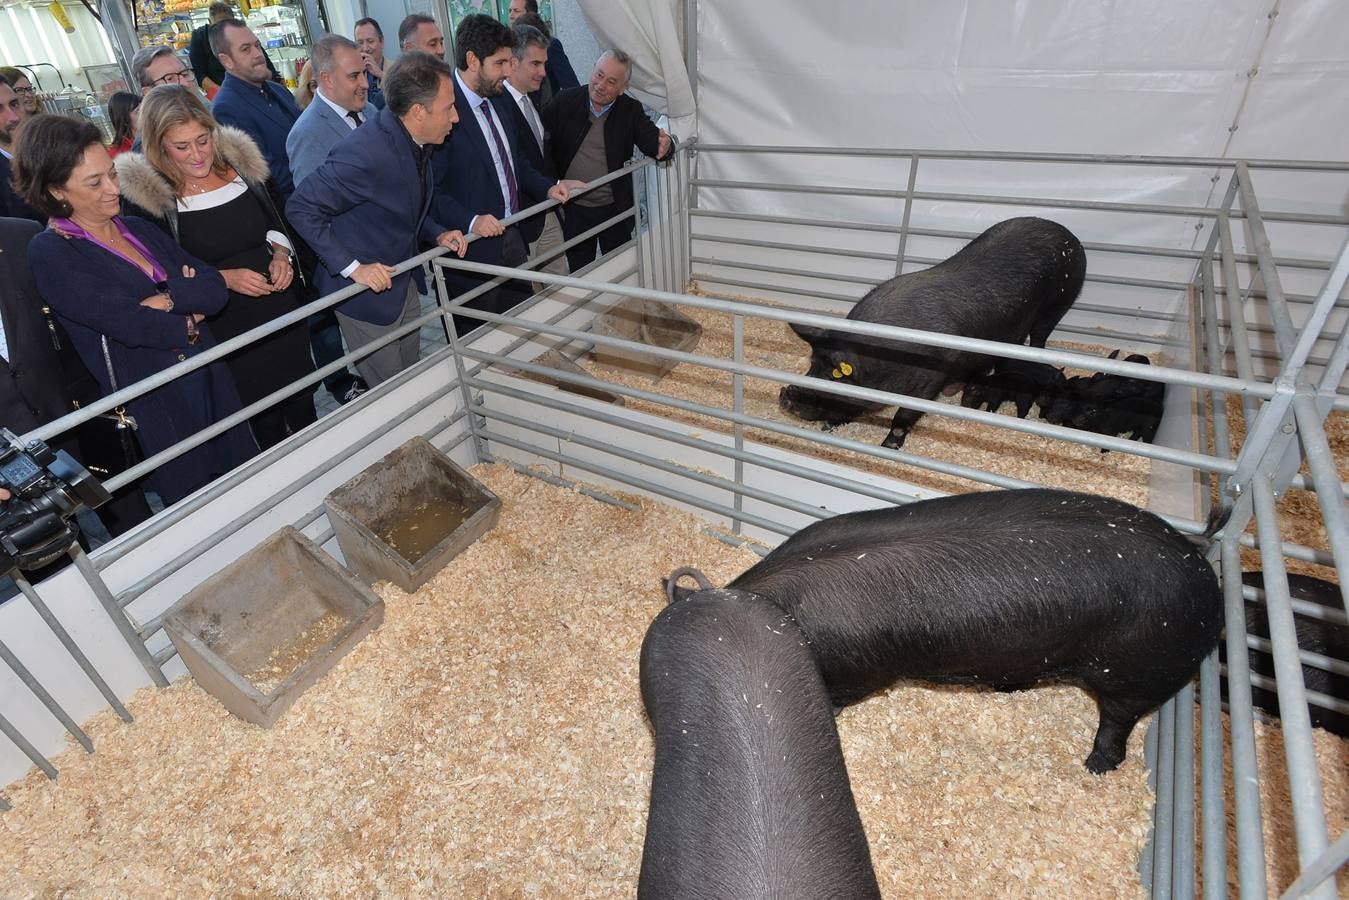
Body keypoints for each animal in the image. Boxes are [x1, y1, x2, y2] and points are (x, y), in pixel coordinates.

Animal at [782, 218, 1084, 450]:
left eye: (832, 376)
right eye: (811, 364)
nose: (785, 393)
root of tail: (1069, 236)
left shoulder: (931, 379)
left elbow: (905, 415)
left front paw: (888, 446)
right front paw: (831, 426)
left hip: (1060, 301)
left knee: (1040, 337)